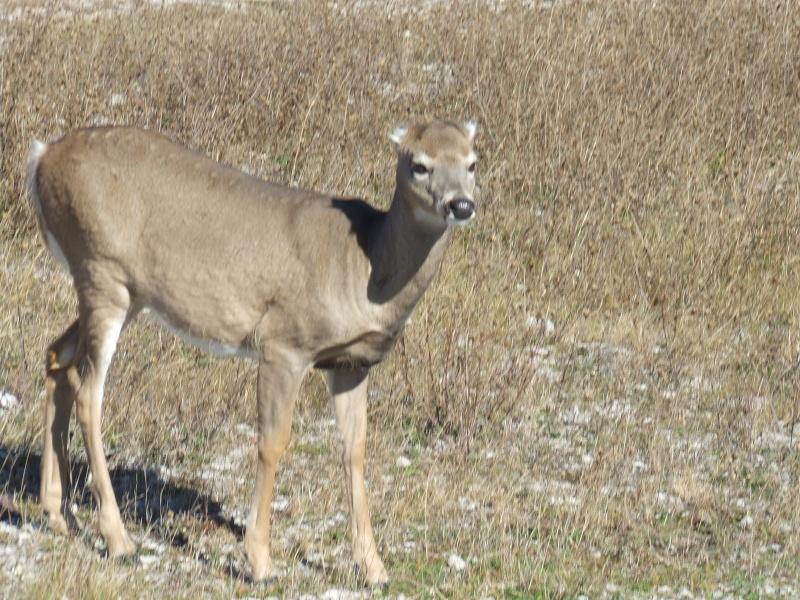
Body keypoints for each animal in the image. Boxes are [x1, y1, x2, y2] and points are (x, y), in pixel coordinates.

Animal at [25, 119, 478, 584]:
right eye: (419, 164)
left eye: (472, 162)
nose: (461, 204)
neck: (365, 265)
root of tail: (42, 156)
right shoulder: (284, 343)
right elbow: (273, 442)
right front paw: (261, 561)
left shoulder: (351, 364)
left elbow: (355, 450)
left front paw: (373, 568)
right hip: (102, 270)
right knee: (88, 392)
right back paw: (118, 541)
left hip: (123, 292)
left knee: (57, 358)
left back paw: (59, 514)